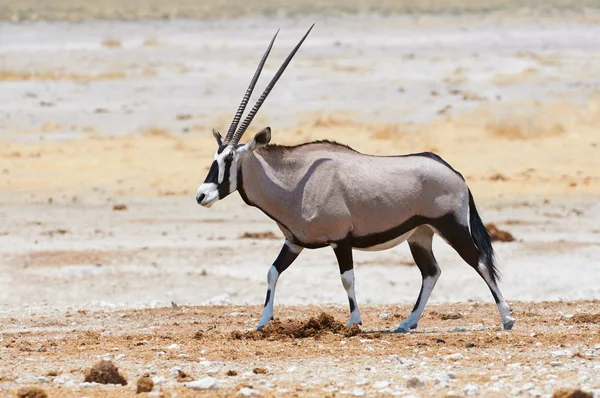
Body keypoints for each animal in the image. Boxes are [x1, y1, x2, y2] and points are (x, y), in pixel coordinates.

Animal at [195, 24, 512, 334]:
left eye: (229, 159)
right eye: (215, 156)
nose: (201, 195)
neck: (294, 181)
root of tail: (456, 174)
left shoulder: (340, 240)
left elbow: (347, 278)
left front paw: (354, 321)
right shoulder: (294, 242)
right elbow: (272, 271)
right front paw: (262, 322)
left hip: (451, 226)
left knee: (479, 262)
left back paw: (507, 318)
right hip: (420, 234)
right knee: (431, 272)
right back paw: (406, 323)